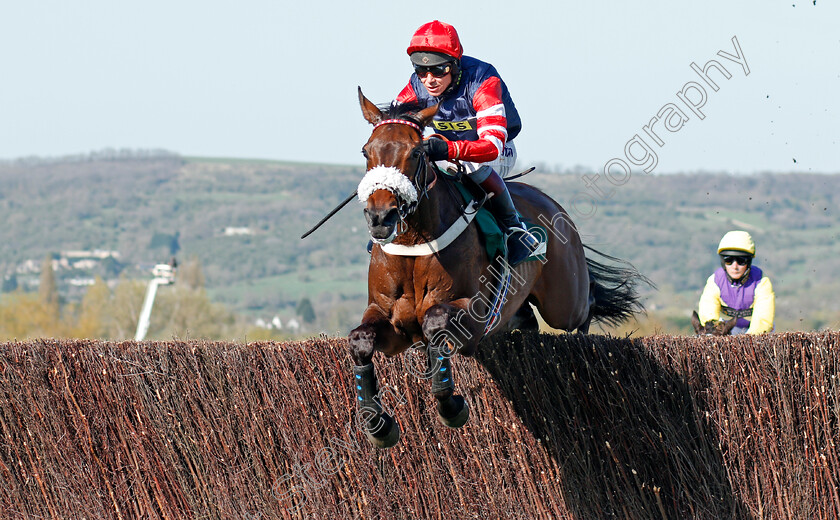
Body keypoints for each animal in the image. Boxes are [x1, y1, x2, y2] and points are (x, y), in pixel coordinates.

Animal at [348, 89, 648, 446]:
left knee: (583, 306)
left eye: (417, 152)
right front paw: (378, 425)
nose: (381, 217)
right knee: (528, 321)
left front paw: (451, 406)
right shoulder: (393, 324)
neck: (414, 247)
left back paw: (583, 338)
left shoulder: (472, 316)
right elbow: (361, 340)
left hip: (563, 301)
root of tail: (553, 204)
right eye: (366, 151)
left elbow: (436, 323)